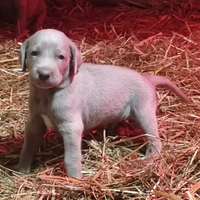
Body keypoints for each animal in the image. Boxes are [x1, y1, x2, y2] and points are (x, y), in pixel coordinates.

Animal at [14, 28, 191, 178]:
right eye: (34, 53)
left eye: (61, 57)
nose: (44, 74)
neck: (48, 94)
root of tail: (147, 79)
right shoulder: (34, 123)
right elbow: (27, 148)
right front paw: (21, 170)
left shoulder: (71, 128)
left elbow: (71, 157)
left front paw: (75, 181)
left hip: (144, 112)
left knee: (155, 140)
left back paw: (148, 159)